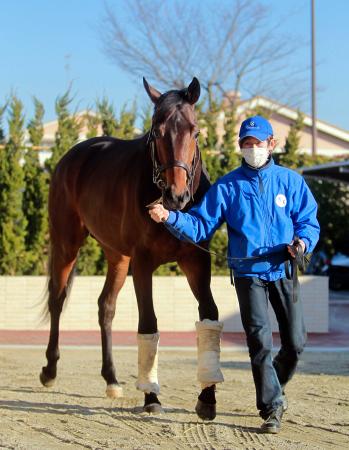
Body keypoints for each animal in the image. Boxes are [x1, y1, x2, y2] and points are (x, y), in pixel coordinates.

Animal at [38, 76, 223, 418]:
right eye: (157, 132)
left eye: (195, 131)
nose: (177, 195)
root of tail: (73, 155)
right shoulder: (144, 263)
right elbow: (148, 322)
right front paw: (151, 396)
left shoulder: (196, 262)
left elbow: (209, 315)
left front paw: (207, 397)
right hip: (67, 243)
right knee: (58, 299)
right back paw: (50, 370)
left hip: (118, 256)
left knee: (106, 307)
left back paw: (111, 379)